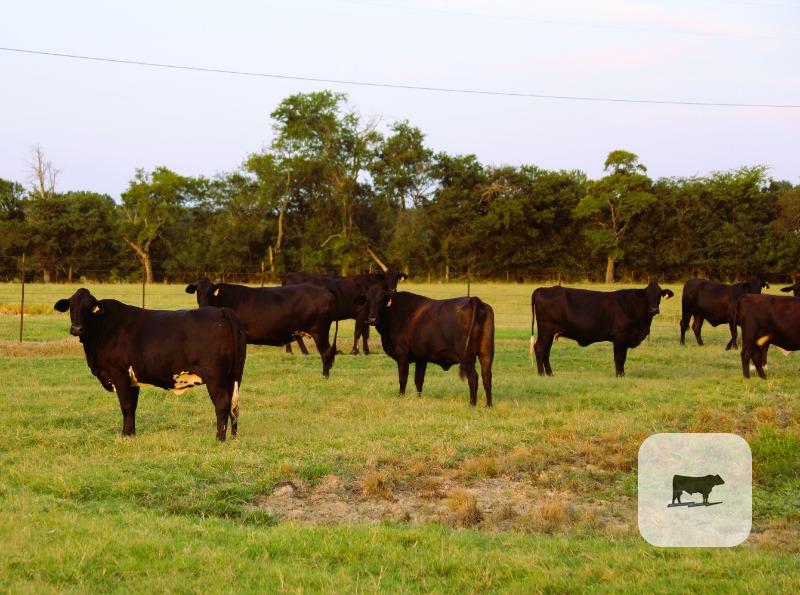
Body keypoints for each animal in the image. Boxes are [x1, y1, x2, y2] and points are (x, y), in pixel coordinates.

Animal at [54, 288, 246, 441]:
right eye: (71, 306)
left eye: (90, 307)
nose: (76, 328)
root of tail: (221, 311)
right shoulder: (133, 379)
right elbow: (132, 406)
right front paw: (131, 434)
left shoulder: (119, 373)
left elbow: (126, 405)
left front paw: (125, 435)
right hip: (233, 376)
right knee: (234, 406)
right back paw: (233, 437)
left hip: (215, 377)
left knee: (222, 404)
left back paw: (219, 438)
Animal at [185, 277, 338, 377]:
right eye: (198, 291)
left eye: (211, 291)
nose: (204, 305)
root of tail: (324, 290)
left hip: (319, 330)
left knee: (326, 352)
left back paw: (324, 376)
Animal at [362, 286, 494, 406]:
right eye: (368, 299)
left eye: (382, 300)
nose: (372, 319)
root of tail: (473, 299)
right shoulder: (421, 358)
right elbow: (419, 379)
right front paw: (418, 399)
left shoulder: (402, 355)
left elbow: (403, 378)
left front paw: (401, 397)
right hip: (486, 353)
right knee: (487, 377)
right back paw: (488, 405)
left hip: (467, 357)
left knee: (473, 378)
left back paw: (472, 404)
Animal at [531, 282, 674, 377]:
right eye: (646, 295)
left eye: (660, 295)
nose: (654, 309)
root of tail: (543, 289)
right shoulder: (620, 336)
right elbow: (619, 357)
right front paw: (620, 376)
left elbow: (623, 358)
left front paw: (622, 374)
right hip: (546, 330)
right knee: (539, 348)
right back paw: (541, 373)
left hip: (550, 332)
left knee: (546, 351)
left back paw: (550, 373)